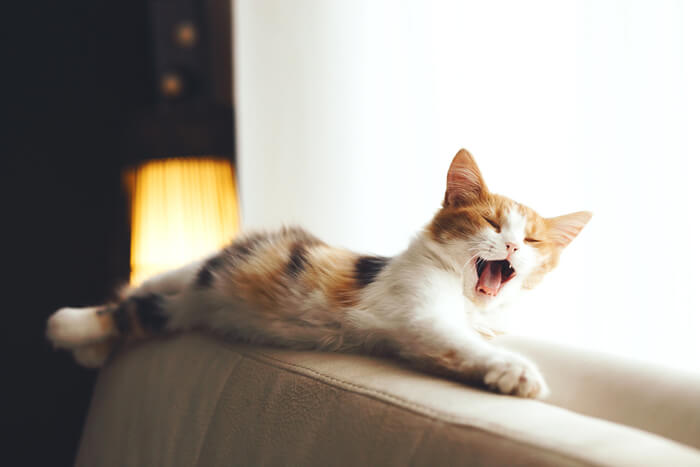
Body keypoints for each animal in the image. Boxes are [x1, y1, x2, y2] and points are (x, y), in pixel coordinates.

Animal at [45, 149, 592, 398]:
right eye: (492, 223)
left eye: (534, 241)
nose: (514, 244)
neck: (464, 298)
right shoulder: (419, 312)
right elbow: (462, 339)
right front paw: (517, 370)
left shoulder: (417, 338)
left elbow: (458, 347)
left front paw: (502, 371)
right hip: (193, 276)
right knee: (131, 299)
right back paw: (66, 325)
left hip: (182, 305)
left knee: (143, 311)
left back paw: (91, 347)